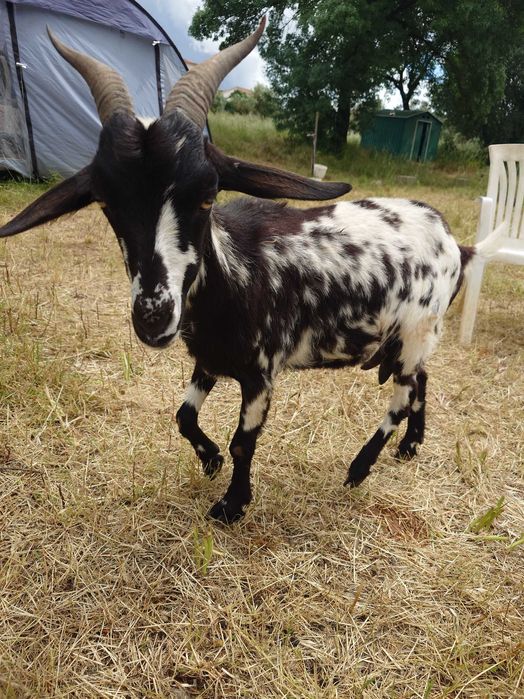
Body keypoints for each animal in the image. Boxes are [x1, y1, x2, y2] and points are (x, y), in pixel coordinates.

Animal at [0, 20, 505, 523]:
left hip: (417, 330)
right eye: (105, 202)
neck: (235, 275)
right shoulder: (209, 358)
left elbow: (243, 442)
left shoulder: (262, 371)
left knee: (401, 397)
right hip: (409, 342)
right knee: (422, 380)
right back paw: (410, 446)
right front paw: (209, 461)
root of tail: (454, 243)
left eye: (208, 195)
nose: (153, 317)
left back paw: (360, 468)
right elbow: (184, 416)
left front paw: (232, 504)